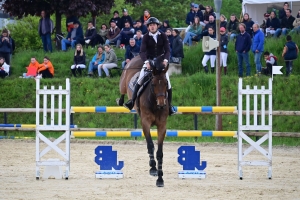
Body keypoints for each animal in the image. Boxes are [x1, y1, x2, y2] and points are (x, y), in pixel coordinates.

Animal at [117, 55, 169, 187]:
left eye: (166, 83)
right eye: (153, 84)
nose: (162, 104)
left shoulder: (162, 125)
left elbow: (159, 151)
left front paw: (160, 178)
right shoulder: (145, 123)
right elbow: (150, 145)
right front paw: (153, 169)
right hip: (123, 82)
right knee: (122, 92)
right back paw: (123, 102)